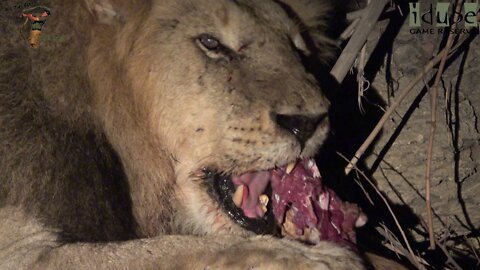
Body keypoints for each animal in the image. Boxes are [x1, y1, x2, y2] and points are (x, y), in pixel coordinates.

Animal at [0, 0, 400, 268]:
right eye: (211, 44)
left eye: (300, 51)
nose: (309, 121)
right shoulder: (21, 250)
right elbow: (176, 249)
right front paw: (324, 260)